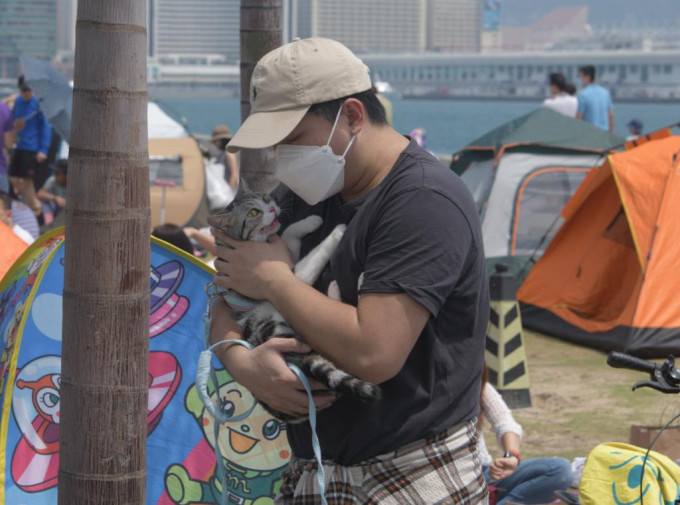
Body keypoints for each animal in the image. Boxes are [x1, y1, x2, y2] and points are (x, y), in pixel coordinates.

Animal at [207, 190, 380, 422]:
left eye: (266, 198)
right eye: (254, 212)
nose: (272, 209)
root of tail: (303, 363)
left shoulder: (288, 253)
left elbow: (288, 233)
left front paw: (311, 221)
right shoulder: (292, 274)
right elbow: (313, 255)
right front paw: (338, 230)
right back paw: (359, 282)